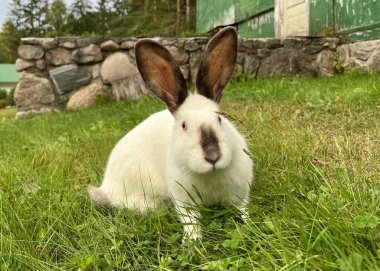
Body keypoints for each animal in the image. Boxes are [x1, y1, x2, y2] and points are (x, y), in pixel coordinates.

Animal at [88, 27, 254, 240]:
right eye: (183, 125)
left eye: (219, 120)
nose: (213, 156)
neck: (210, 176)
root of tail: (106, 187)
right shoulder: (184, 200)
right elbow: (190, 221)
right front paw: (193, 241)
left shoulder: (240, 193)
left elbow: (243, 210)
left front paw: (248, 225)